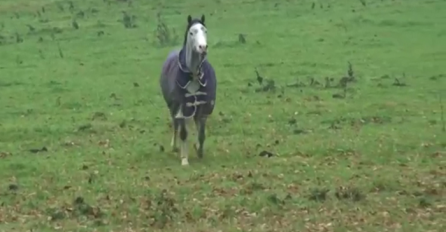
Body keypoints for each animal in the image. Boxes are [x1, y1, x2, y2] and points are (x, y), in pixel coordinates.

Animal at [159, 14, 217, 166]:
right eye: (191, 32)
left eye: (205, 30)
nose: (203, 47)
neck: (193, 75)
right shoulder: (181, 107)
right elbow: (183, 133)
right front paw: (184, 159)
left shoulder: (202, 108)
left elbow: (201, 134)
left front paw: (199, 151)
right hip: (174, 108)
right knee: (176, 125)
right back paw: (175, 146)